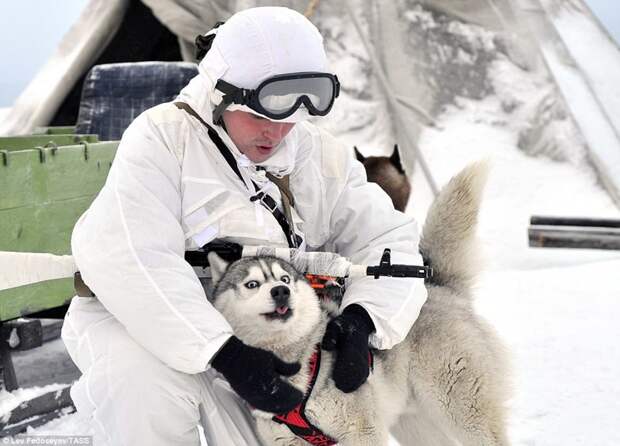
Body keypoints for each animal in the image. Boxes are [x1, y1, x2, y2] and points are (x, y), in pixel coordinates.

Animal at [208, 163, 508, 446]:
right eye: (252, 284)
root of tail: (440, 287)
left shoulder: (363, 431)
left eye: (285, 278)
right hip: (414, 424)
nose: (281, 291)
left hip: (464, 413)